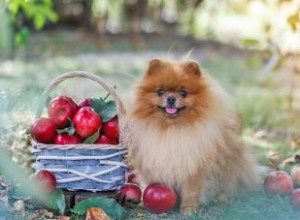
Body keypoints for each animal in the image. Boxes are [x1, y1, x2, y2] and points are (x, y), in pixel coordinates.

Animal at [122, 58, 258, 213]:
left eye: (183, 92)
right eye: (160, 91)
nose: (170, 98)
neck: (171, 130)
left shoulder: (195, 166)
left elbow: (191, 190)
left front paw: (188, 209)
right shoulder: (151, 162)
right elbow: (150, 184)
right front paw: (145, 202)